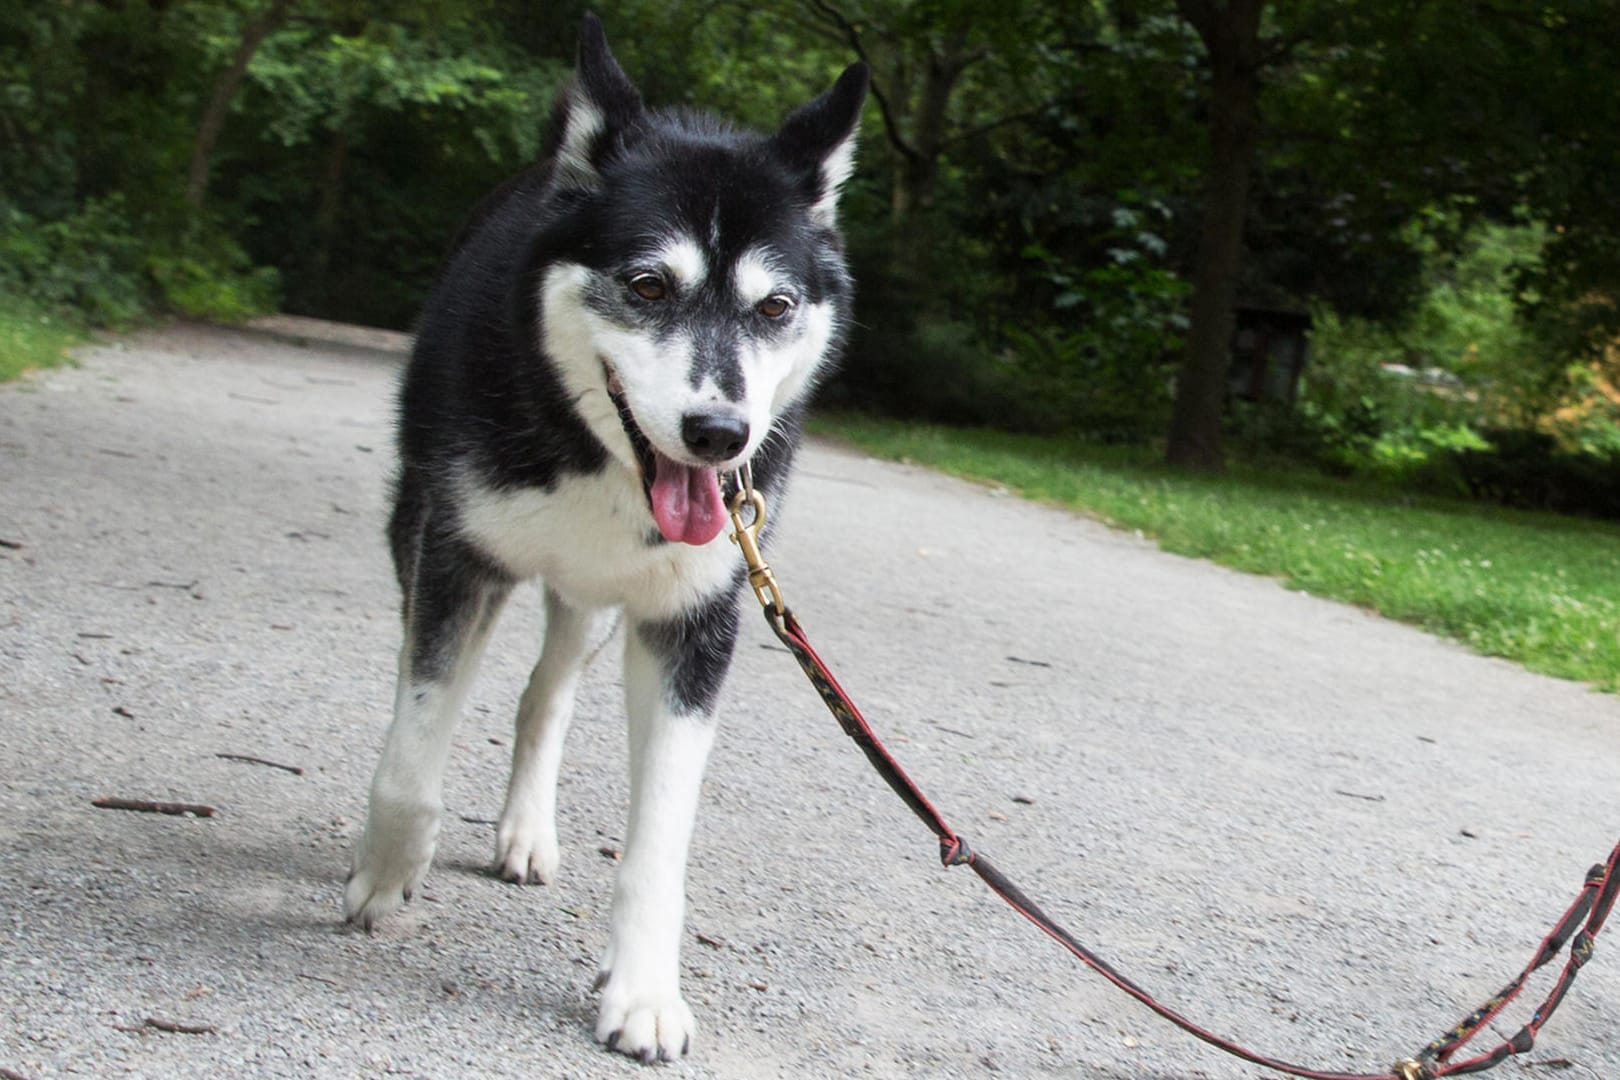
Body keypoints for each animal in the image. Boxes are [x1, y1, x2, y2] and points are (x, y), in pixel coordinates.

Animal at [345, 10, 874, 1062]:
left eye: (776, 307)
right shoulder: (455, 558)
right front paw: (385, 873)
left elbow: (660, 840)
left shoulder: (692, 624)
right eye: (649, 285)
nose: (720, 434)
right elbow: (415, 747)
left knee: (543, 697)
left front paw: (643, 992)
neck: (595, 457)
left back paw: (525, 830)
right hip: (422, 529)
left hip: (591, 604)